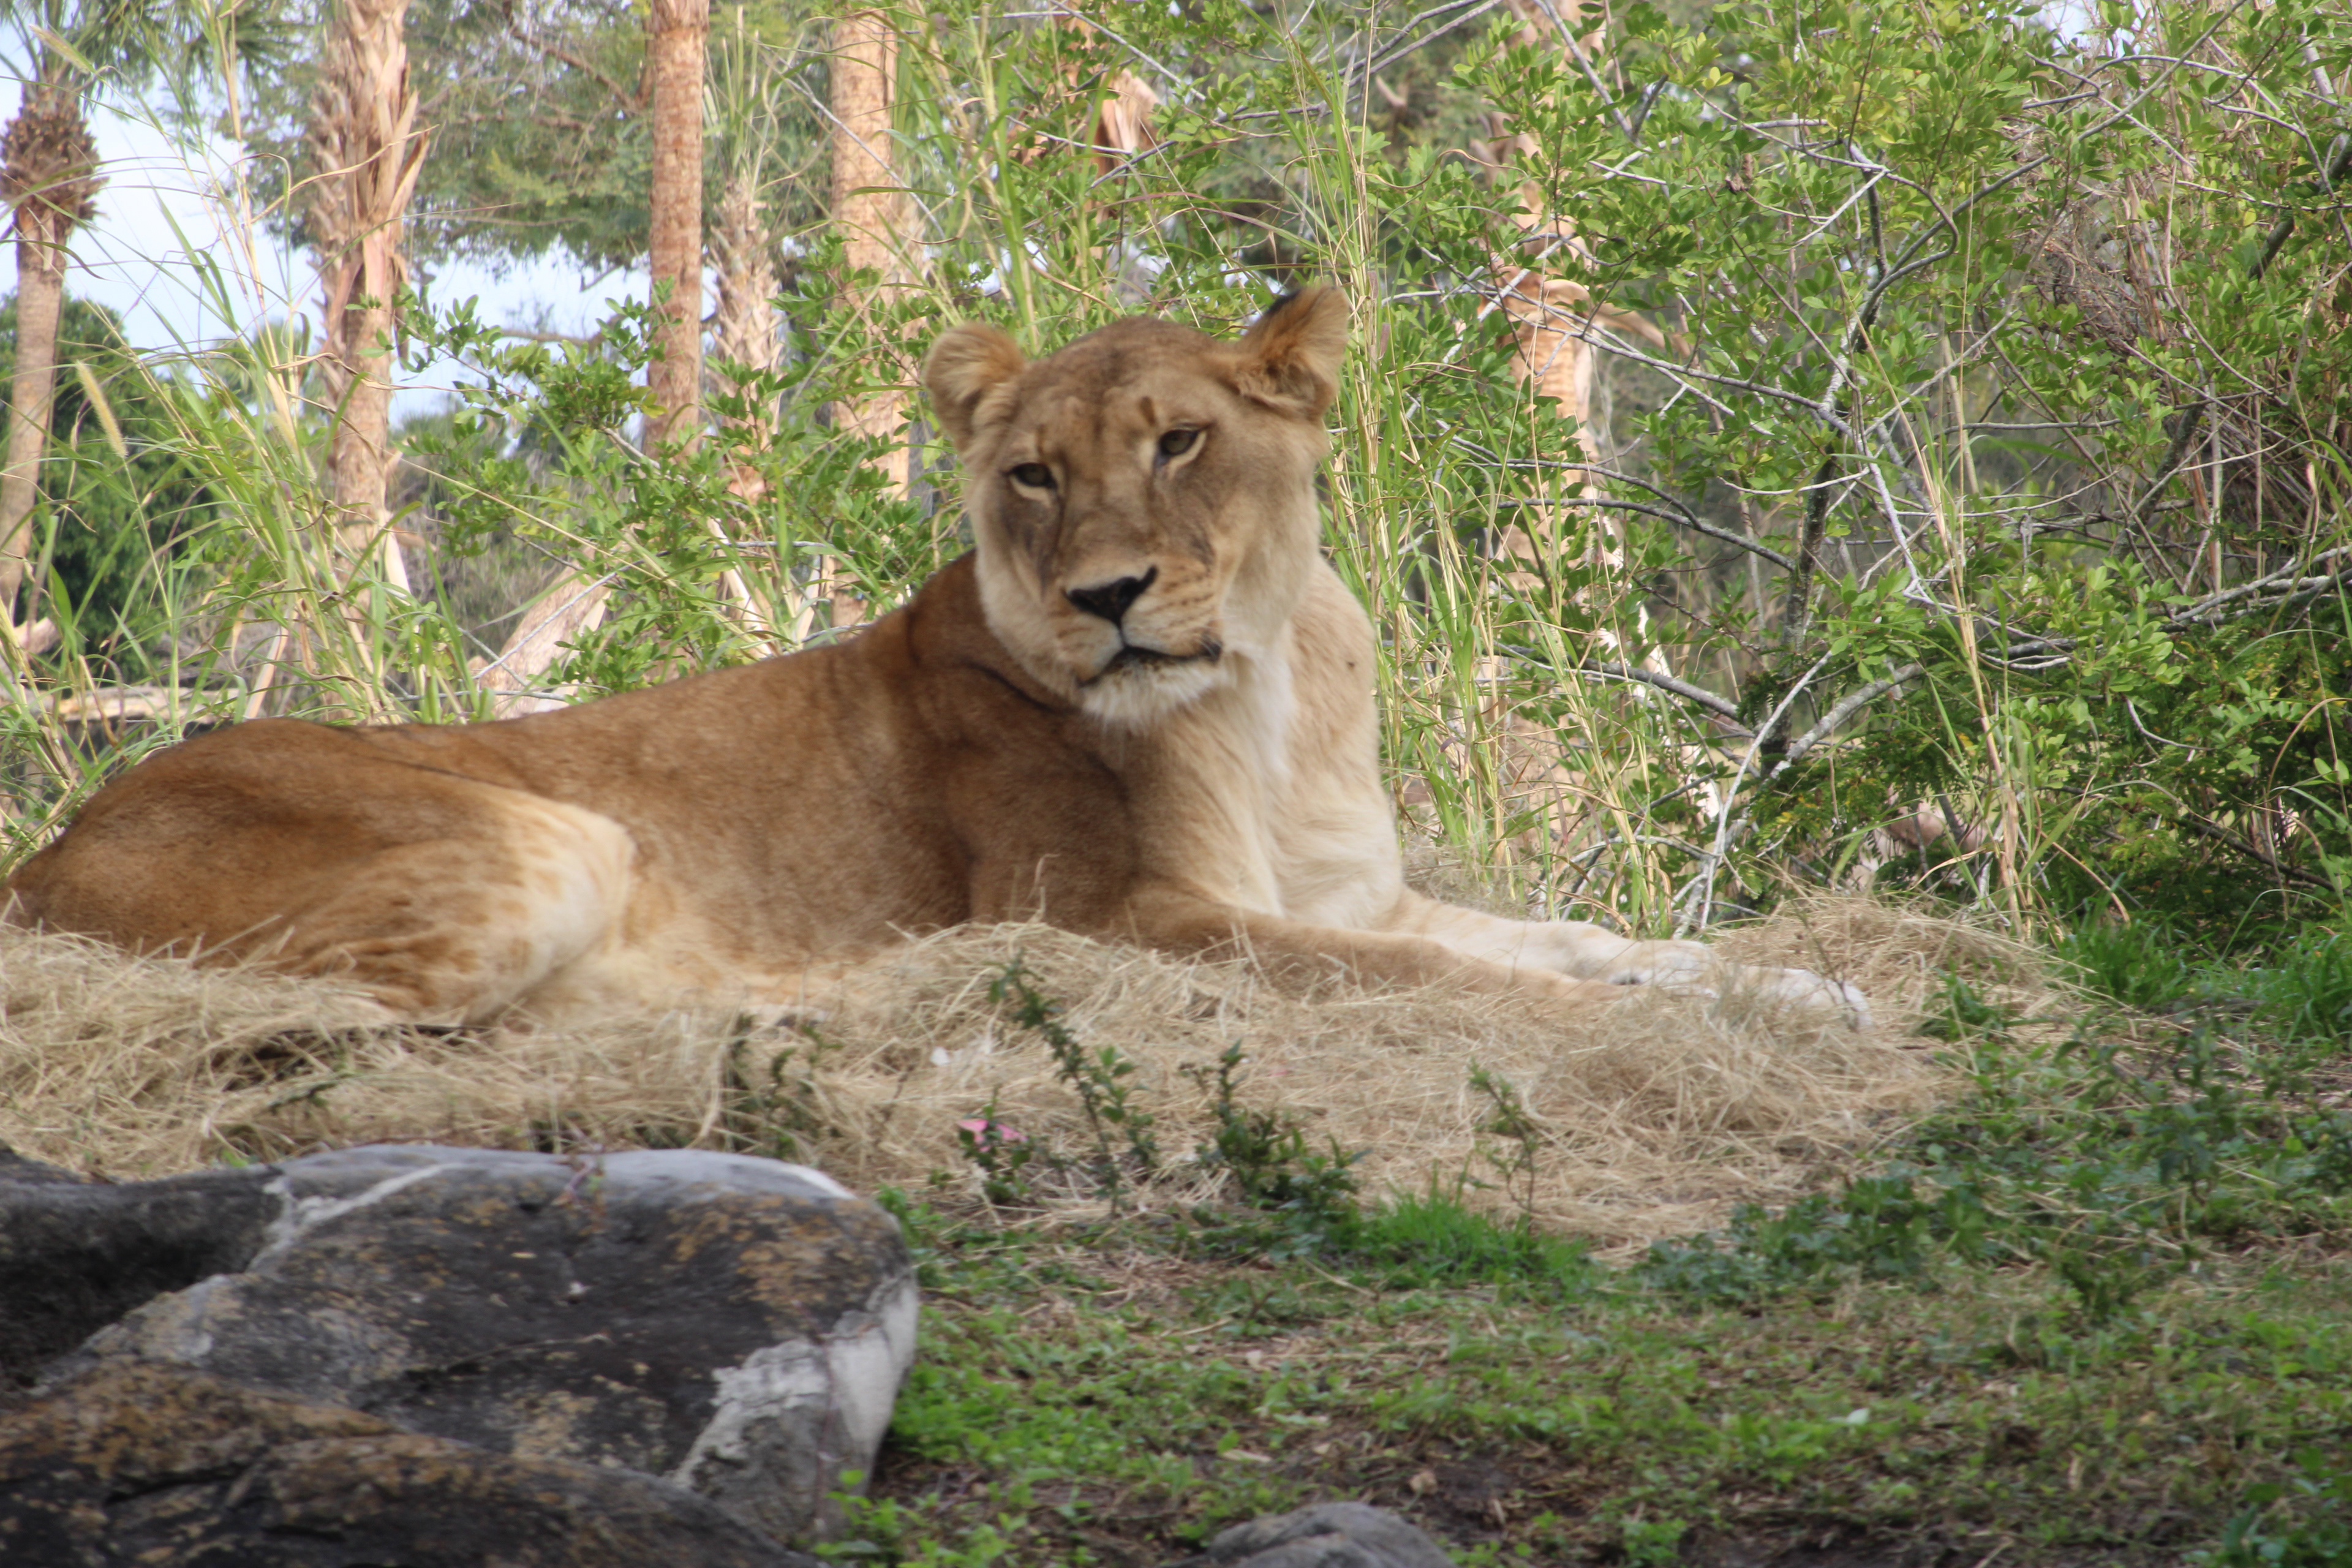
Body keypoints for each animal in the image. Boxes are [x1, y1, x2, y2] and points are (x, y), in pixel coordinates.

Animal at [2, 290, 1865, 1027]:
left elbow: (1581, 942)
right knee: (331, 1027)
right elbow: (1451, 980)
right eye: (1033, 473)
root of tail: (52, 845)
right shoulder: (1130, 917)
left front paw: (1801, 989)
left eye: (1180, 441)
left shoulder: (1355, 886)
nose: (1107, 598)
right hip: (548, 836)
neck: (1264, 691)